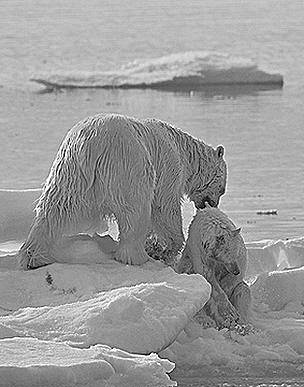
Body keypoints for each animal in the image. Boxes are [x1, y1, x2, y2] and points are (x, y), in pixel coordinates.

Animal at [18, 113, 226, 270]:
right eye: (222, 189)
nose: (211, 204)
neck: (183, 149)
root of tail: (92, 144)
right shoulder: (168, 167)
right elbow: (164, 205)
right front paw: (167, 248)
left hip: (69, 169)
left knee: (54, 209)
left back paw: (34, 257)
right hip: (128, 165)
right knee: (135, 212)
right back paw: (137, 257)